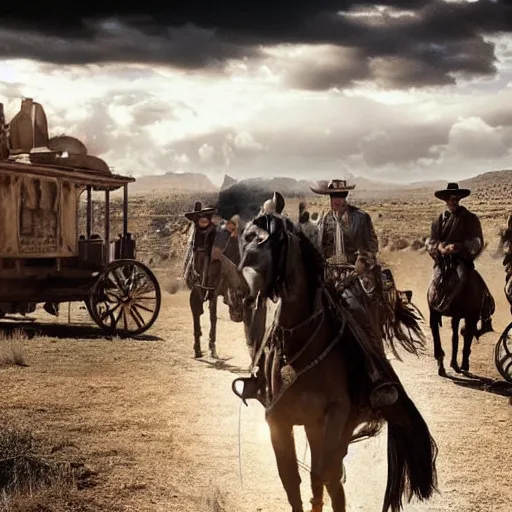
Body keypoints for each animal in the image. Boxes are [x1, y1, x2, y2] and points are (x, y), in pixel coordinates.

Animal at [232, 207, 436, 512]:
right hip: (313, 425)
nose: (242, 296)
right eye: (245, 239)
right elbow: (292, 481)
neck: (300, 341)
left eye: (270, 242)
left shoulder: (337, 414)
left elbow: (324, 475)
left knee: (331, 473)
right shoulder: (279, 419)